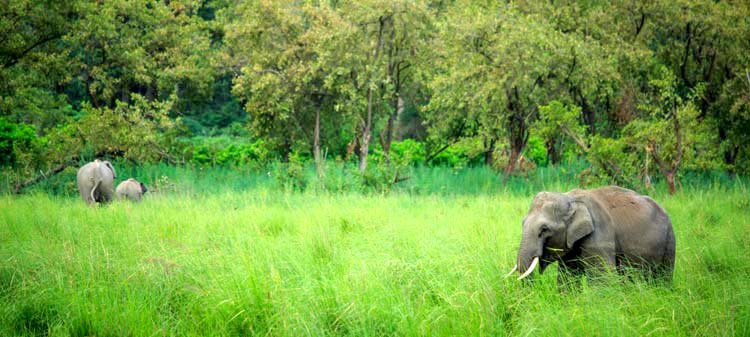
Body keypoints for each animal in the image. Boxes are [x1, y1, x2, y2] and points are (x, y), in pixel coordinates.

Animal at [508, 185, 680, 282]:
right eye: (522, 223)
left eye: (544, 229)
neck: (570, 198)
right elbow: (568, 278)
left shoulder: (599, 234)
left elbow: (602, 278)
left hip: (670, 242)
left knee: (663, 277)